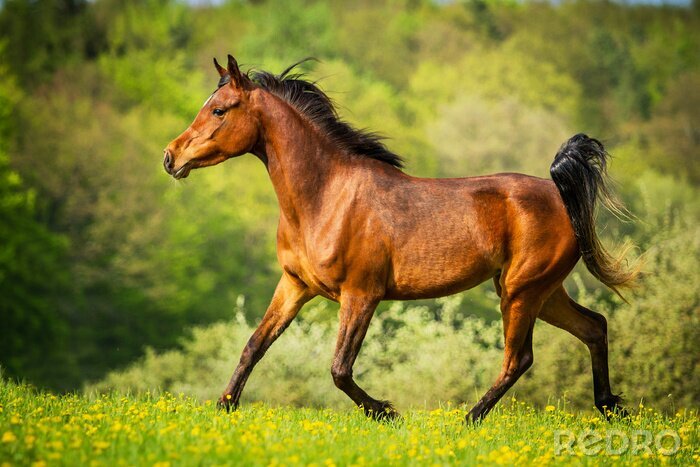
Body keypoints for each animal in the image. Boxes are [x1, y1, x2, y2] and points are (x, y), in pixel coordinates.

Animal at [163, 54, 636, 424]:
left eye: (219, 110)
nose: (170, 157)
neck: (326, 197)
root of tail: (559, 194)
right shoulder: (295, 286)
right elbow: (254, 346)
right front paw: (224, 407)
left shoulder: (361, 294)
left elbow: (339, 368)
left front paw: (386, 412)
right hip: (542, 291)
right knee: (594, 326)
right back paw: (612, 408)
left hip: (521, 292)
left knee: (518, 359)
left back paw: (468, 420)